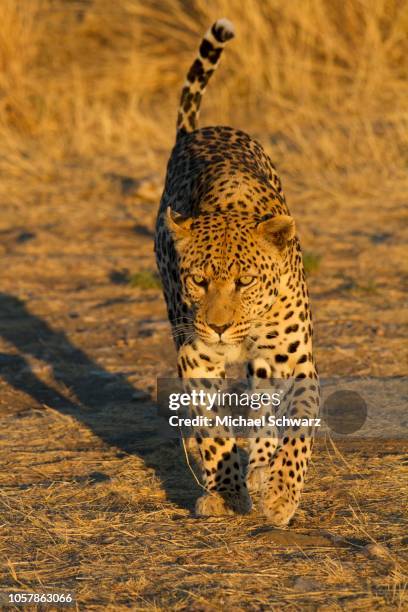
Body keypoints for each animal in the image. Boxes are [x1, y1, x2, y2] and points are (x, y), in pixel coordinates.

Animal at [154, 19, 318, 524]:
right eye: (198, 280)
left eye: (245, 281)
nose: (220, 327)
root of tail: (198, 131)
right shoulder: (196, 356)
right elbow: (211, 429)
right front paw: (226, 490)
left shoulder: (294, 361)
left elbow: (297, 428)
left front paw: (281, 493)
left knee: (265, 410)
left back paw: (264, 470)